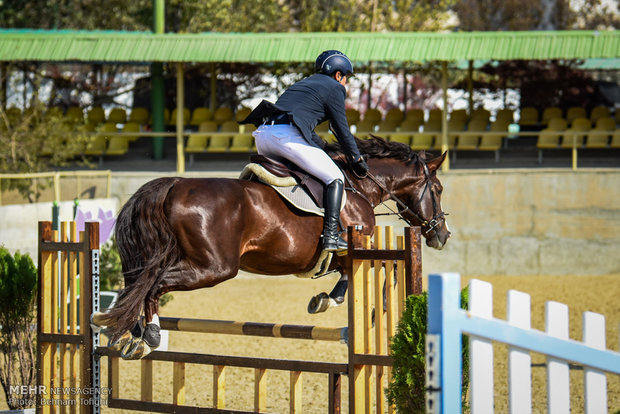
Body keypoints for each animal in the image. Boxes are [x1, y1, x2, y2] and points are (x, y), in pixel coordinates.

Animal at [92, 137, 450, 360]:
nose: (442, 235)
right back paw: (149, 336)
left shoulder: (329, 259)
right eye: (437, 189)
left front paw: (324, 299)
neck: (358, 187)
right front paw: (343, 304)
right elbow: (367, 274)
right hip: (213, 268)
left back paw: (127, 334)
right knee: (153, 286)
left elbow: (346, 274)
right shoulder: (349, 249)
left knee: (135, 287)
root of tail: (173, 184)